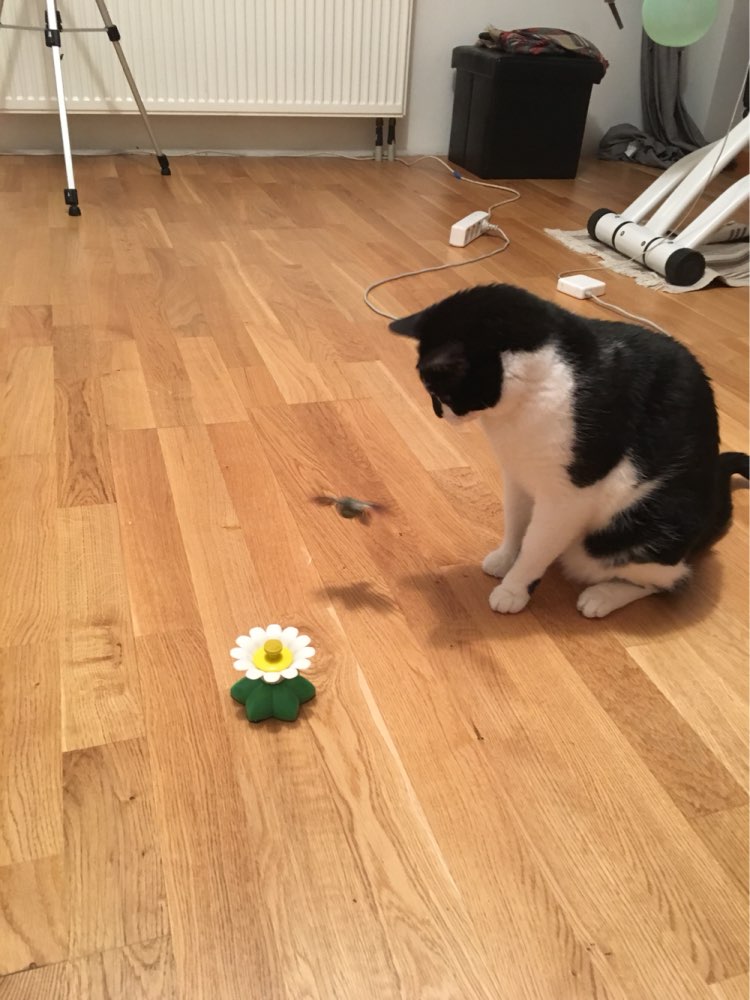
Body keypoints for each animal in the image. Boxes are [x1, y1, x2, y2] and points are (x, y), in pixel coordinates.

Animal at [390, 283, 749, 618]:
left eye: (439, 391)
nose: (439, 414)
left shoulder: (567, 498)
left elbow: (536, 545)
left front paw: (513, 588)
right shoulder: (517, 474)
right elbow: (516, 523)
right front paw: (505, 559)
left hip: (638, 531)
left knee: (667, 580)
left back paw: (602, 596)